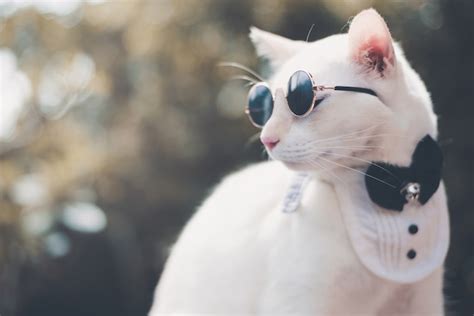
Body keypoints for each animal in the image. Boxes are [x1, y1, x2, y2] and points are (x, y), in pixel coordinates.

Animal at [149, 8, 448, 314]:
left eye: (301, 100)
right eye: (264, 107)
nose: (267, 139)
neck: (393, 186)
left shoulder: (421, 303)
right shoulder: (296, 303)